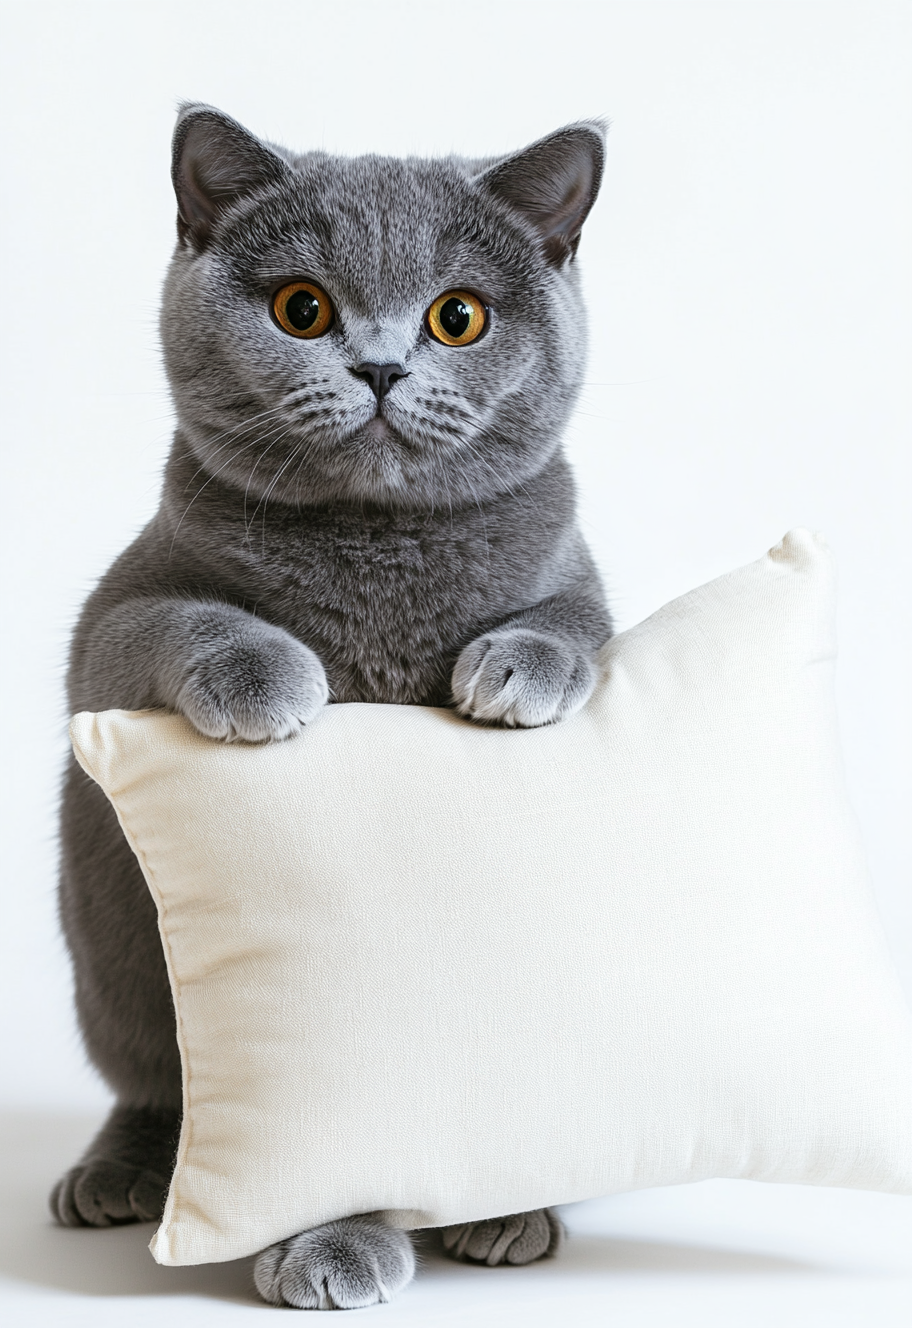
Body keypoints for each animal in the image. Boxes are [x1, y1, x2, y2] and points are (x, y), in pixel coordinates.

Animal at [55, 103, 613, 1306]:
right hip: (110, 951)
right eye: (301, 309)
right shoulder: (108, 624)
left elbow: (575, 622)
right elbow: (176, 619)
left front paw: (522, 666)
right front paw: (267, 676)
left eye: (459, 317)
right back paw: (121, 1175)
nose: (382, 366)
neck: (379, 547)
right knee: (158, 1083)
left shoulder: (576, 569)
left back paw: (510, 1213)